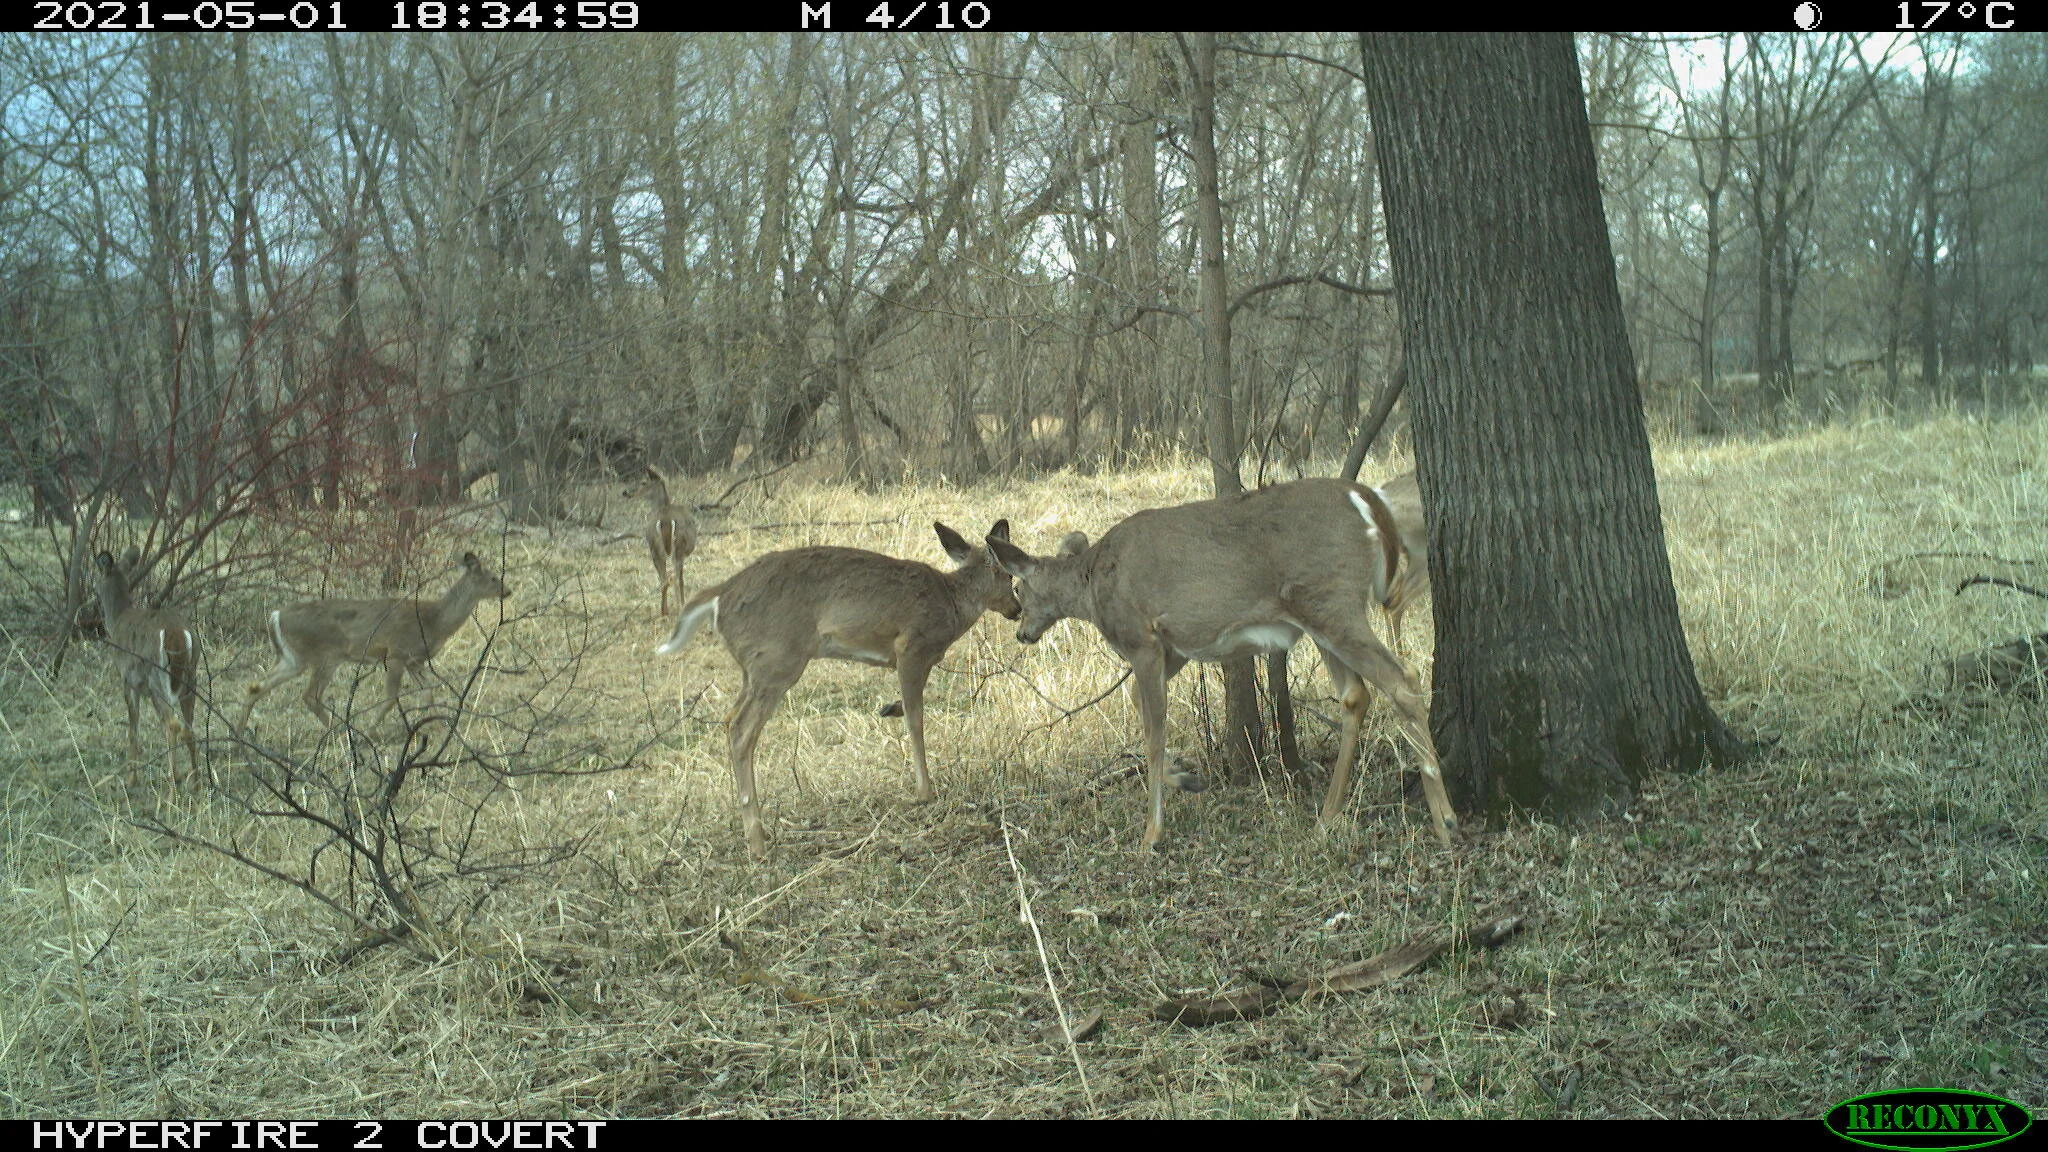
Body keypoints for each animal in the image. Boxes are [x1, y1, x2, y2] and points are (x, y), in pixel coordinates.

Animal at [93, 547, 202, 785]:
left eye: (97, 578)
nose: (93, 592)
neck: (118, 618)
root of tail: (176, 633)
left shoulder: (128, 680)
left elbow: (133, 727)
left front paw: (131, 778)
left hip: (157, 679)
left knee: (172, 724)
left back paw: (174, 781)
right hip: (191, 677)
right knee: (188, 727)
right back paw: (195, 781)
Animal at [233, 551, 511, 734]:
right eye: (493, 577)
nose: (507, 591)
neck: (435, 621)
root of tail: (276, 615)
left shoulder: (415, 661)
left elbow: (429, 693)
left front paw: (427, 725)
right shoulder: (396, 653)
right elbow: (391, 699)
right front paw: (373, 730)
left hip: (294, 658)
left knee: (256, 686)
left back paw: (240, 734)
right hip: (325, 656)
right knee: (309, 695)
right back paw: (340, 731)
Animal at [624, 466, 697, 616]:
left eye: (643, 482)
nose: (626, 492)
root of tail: (665, 520)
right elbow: (680, 578)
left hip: (655, 546)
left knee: (665, 578)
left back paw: (664, 611)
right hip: (676, 547)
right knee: (675, 578)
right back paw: (678, 607)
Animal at [655, 521, 1020, 857]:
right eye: (1010, 577)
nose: (1016, 610)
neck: (952, 603)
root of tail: (721, 595)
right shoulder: (911, 648)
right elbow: (915, 720)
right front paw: (925, 791)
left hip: (752, 668)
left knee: (729, 718)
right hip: (776, 659)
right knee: (742, 730)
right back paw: (757, 842)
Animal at [986, 479, 1457, 851]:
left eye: (1019, 589)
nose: (1022, 632)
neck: (1092, 583)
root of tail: (1364, 497)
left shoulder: (1142, 639)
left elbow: (1154, 734)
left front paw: (1151, 833)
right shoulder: (1173, 647)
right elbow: (1140, 706)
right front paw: (1187, 779)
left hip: (1331, 598)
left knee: (1401, 679)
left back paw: (1445, 819)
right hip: (1320, 613)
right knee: (1356, 695)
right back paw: (1327, 816)